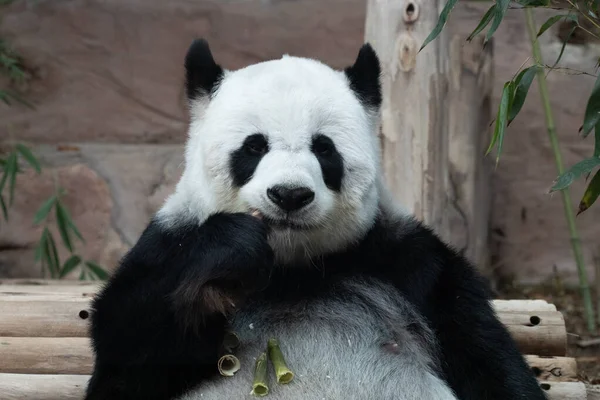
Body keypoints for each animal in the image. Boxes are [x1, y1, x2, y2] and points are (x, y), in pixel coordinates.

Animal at [84, 38, 548, 400]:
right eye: (254, 147)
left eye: (324, 149)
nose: (289, 195)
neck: (293, 268)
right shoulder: (169, 243)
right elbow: (123, 344)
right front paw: (225, 265)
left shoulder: (406, 262)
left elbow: (486, 357)